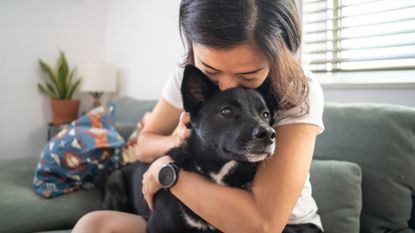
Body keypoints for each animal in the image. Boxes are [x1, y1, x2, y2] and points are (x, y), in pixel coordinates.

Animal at [103, 65, 278, 233]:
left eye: (265, 115)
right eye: (227, 111)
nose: (269, 134)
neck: (218, 173)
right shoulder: (159, 227)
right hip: (115, 180)